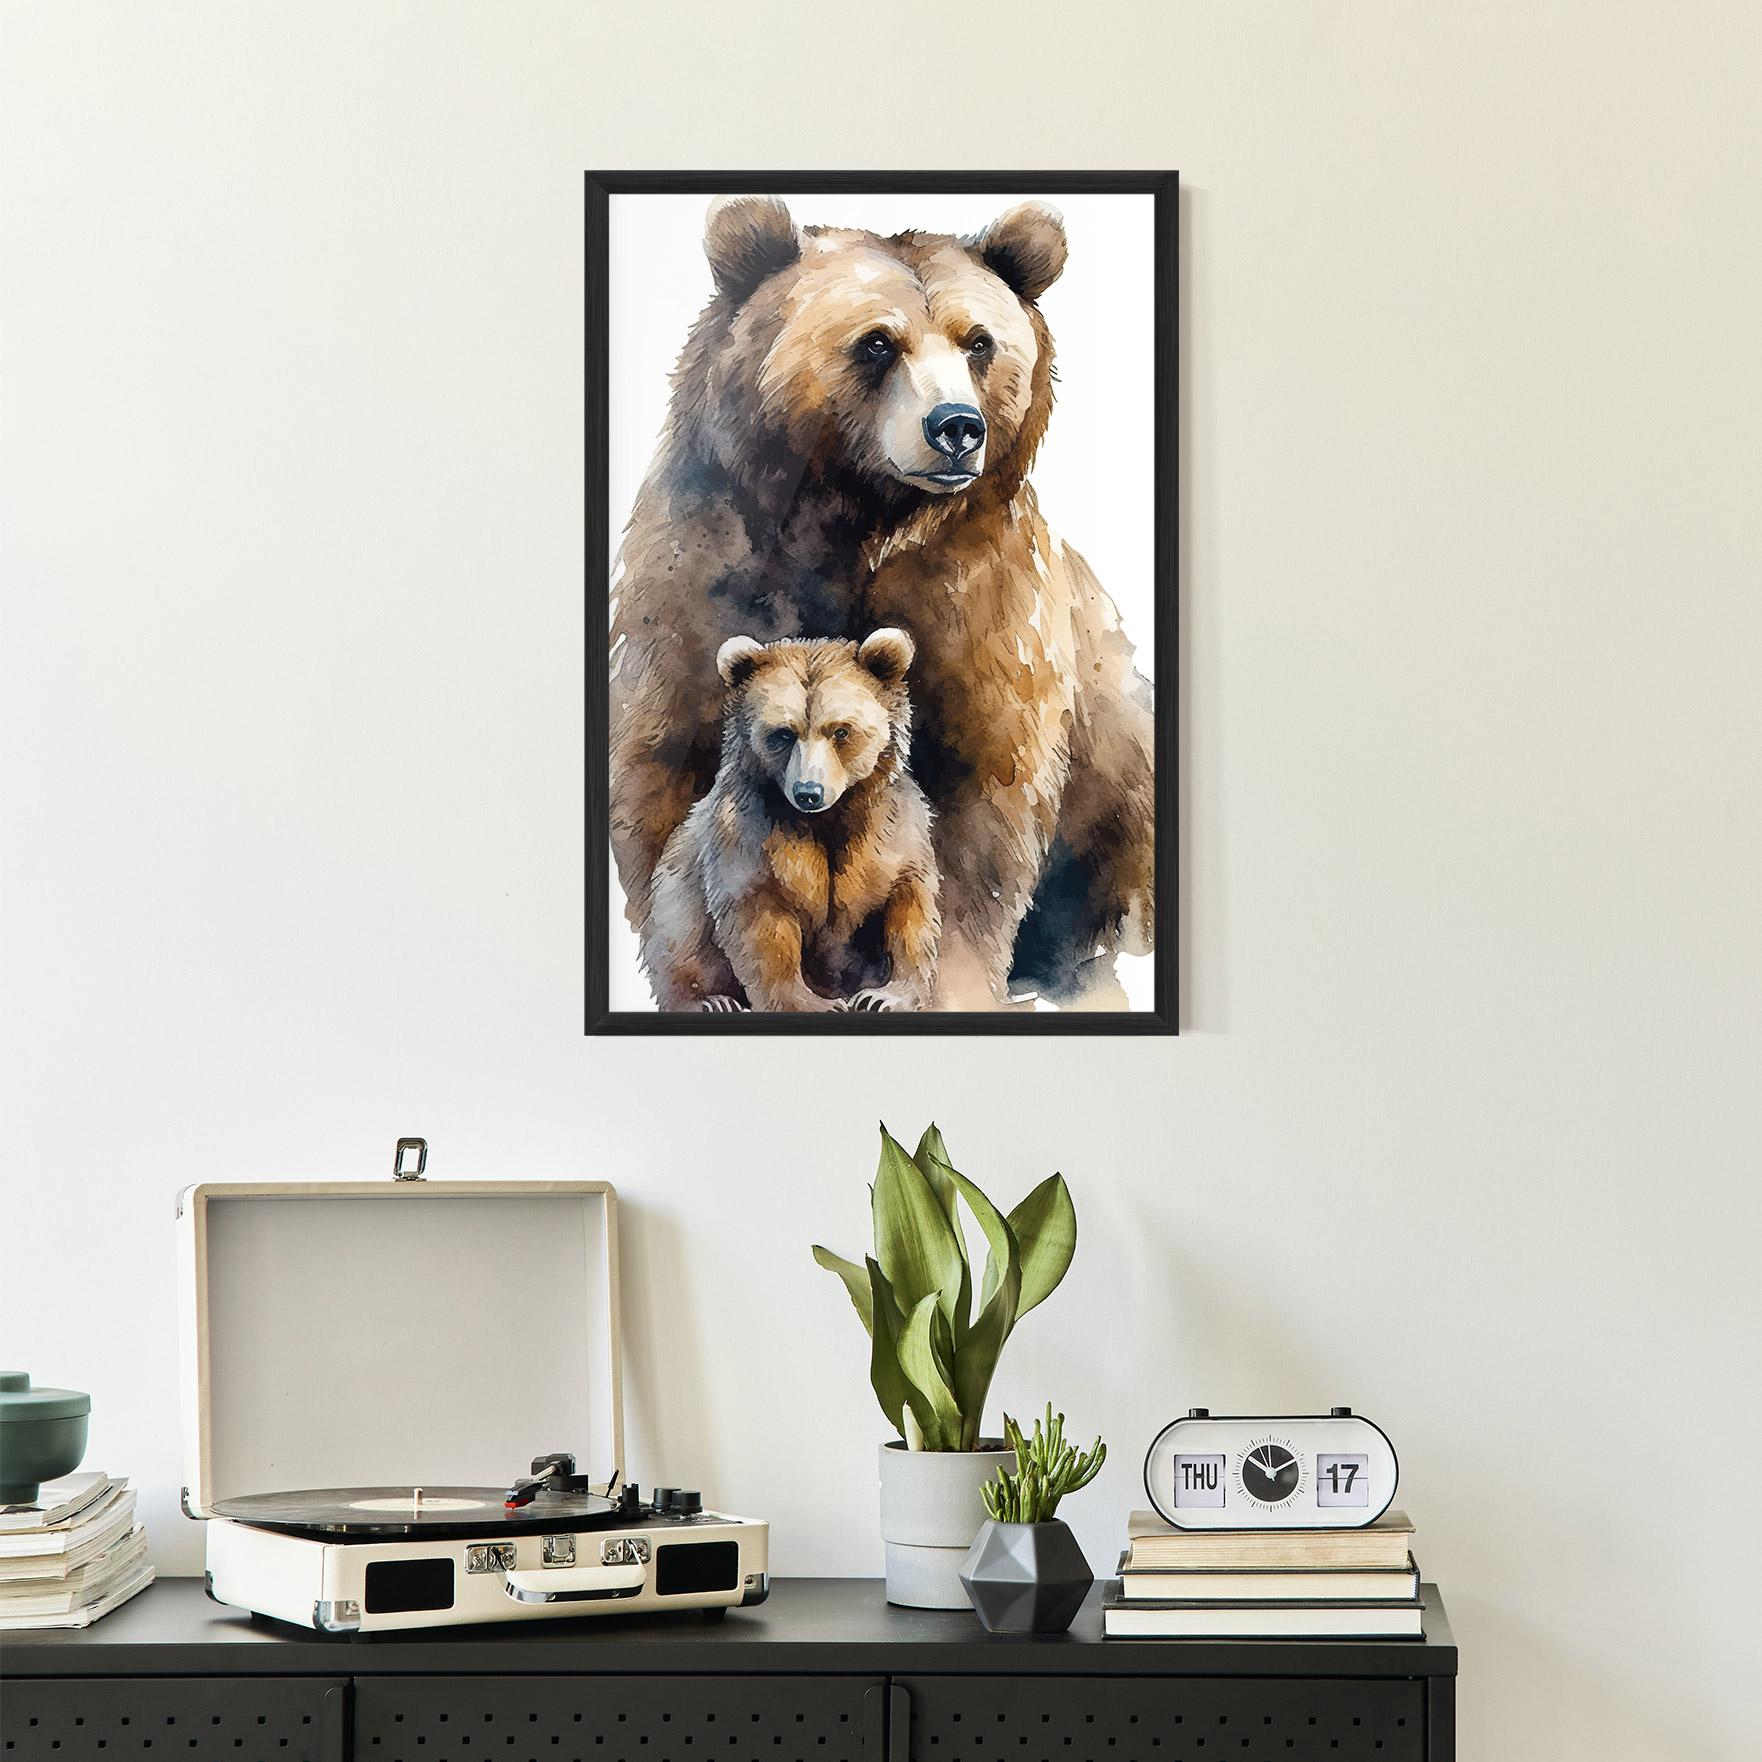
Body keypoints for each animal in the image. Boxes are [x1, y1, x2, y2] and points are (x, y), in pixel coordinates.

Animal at [639, 627, 940, 1014]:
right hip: (674, 888)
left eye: (841, 731)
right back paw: (709, 1001)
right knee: (678, 936)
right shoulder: (750, 837)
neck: (829, 818)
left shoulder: (892, 832)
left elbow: (909, 908)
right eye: (783, 733)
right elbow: (763, 924)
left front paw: (884, 995)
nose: (808, 792)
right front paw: (814, 1003)